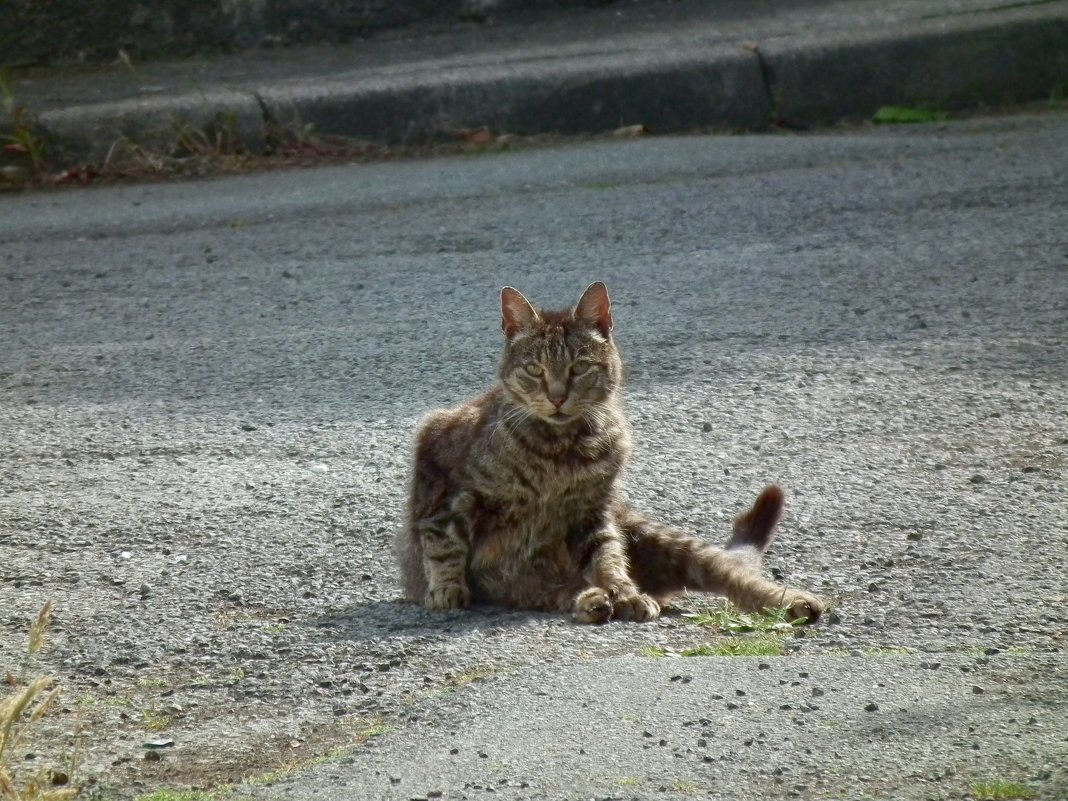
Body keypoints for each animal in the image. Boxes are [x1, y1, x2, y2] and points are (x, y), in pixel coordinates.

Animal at [399, 281, 824, 627]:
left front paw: (624, 592)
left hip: (655, 537)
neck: (559, 450)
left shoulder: (593, 512)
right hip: (521, 582)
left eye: (579, 367)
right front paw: (446, 588)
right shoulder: (438, 469)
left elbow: (607, 558)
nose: (557, 396)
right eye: (534, 369)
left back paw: (789, 601)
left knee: (728, 572)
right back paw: (594, 602)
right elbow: (441, 542)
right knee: (561, 591)